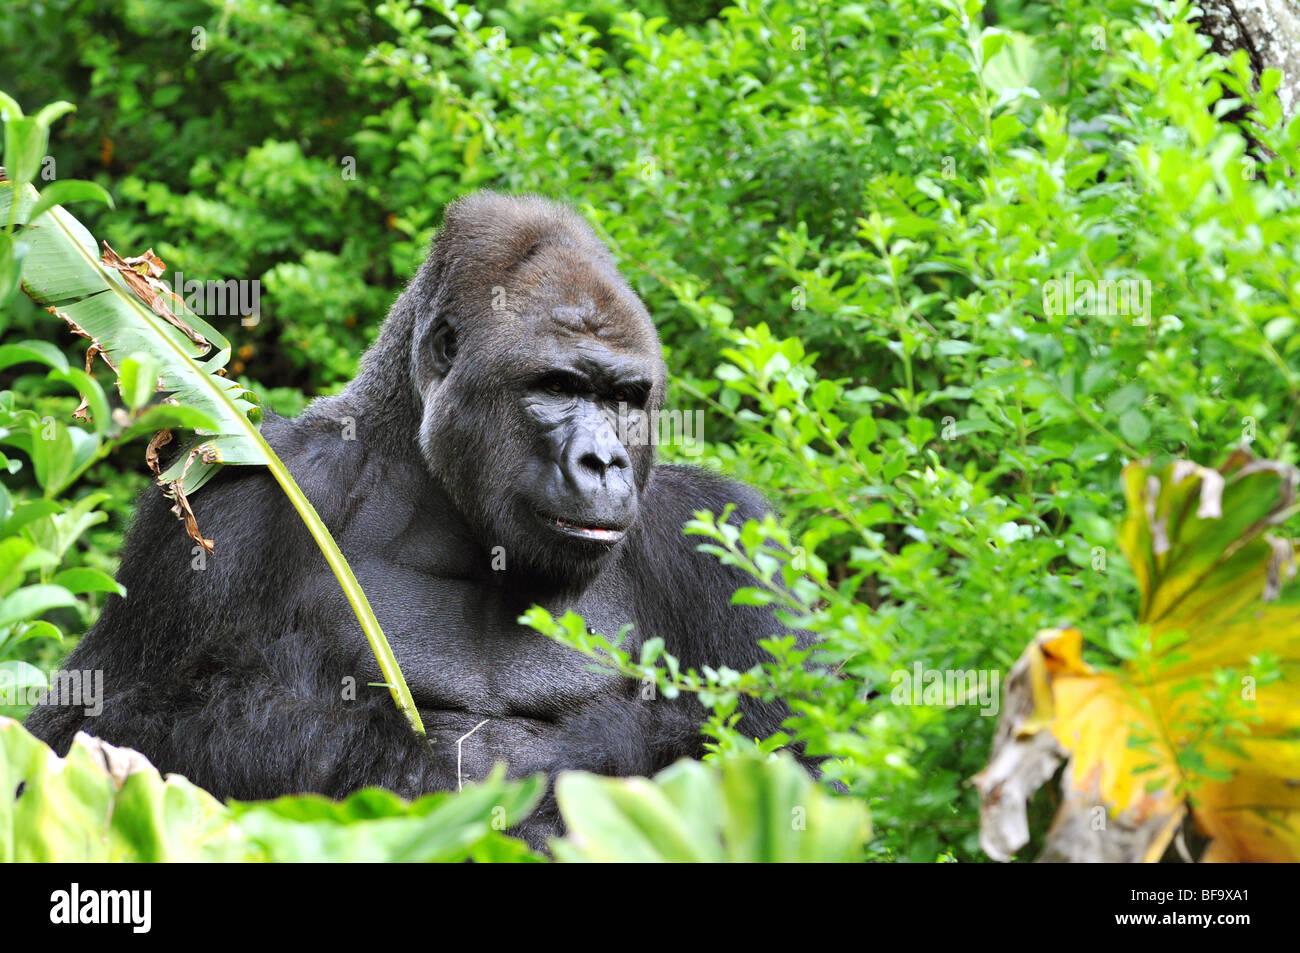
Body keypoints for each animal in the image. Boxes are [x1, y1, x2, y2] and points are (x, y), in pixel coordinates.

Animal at [25, 189, 806, 842]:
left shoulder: (724, 535)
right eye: (558, 387)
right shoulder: (239, 502)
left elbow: (789, 756)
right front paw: (394, 755)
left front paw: (601, 744)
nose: (604, 461)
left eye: (624, 397)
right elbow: (88, 729)